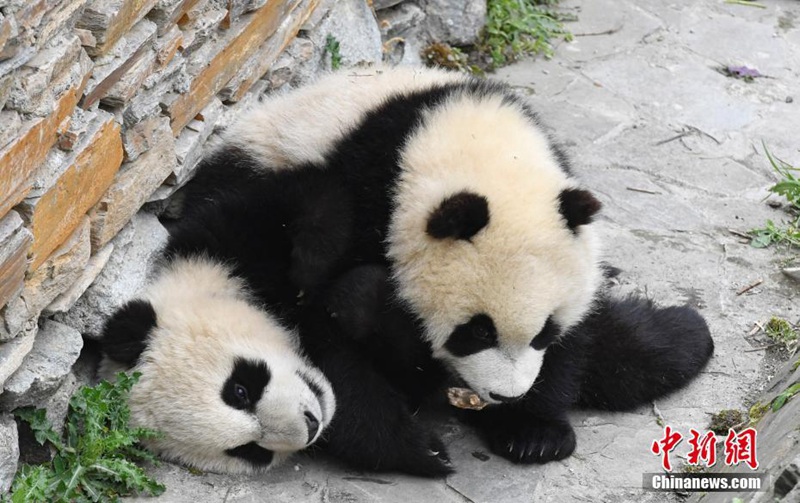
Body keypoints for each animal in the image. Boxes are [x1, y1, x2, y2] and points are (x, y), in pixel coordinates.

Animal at [173, 66, 714, 473]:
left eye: (544, 331)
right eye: (476, 332)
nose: (504, 394)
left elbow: (577, 336)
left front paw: (534, 431)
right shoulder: (358, 199)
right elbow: (323, 332)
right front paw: (417, 448)